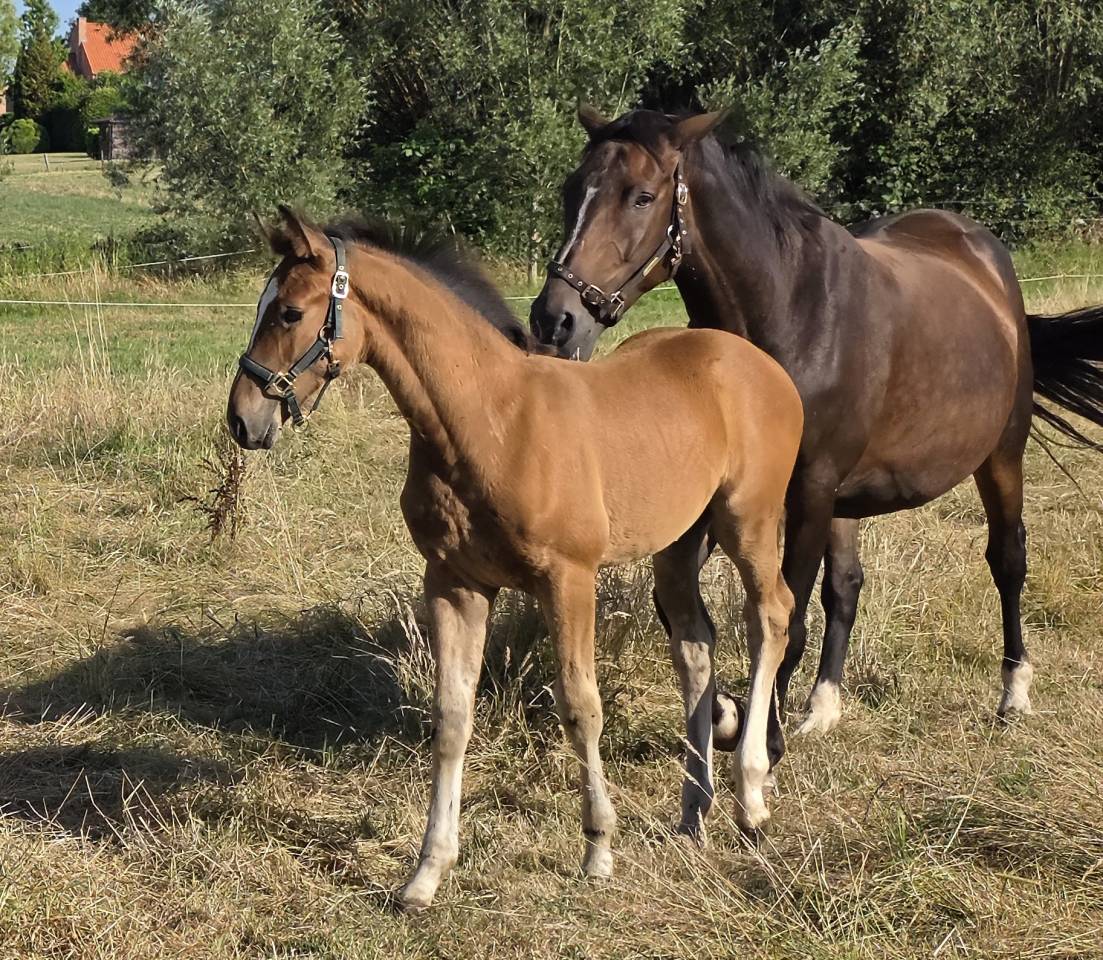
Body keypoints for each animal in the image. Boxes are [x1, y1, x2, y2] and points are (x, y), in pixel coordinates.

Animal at [226, 207, 804, 910]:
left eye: (287, 312)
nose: (242, 419)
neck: (489, 421)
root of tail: (759, 363)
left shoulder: (569, 579)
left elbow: (581, 708)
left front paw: (597, 850)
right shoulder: (454, 582)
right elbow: (452, 716)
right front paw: (426, 872)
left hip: (749, 521)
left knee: (771, 616)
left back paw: (751, 798)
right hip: (678, 544)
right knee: (695, 643)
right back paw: (694, 812)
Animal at [530, 106, 1103, 764]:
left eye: (641, 196)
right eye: (572, 189)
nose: (554, 320)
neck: (793, 312)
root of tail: (985, 258)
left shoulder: (807, 490)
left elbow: (788, 614)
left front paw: (764, 735)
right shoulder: (734, 497)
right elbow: (682, 609)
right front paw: (726, 714)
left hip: (1000, 455)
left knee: (1007, 559)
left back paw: (1014, 693)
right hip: (846, 499)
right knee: (847, 587)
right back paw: (822, 708)